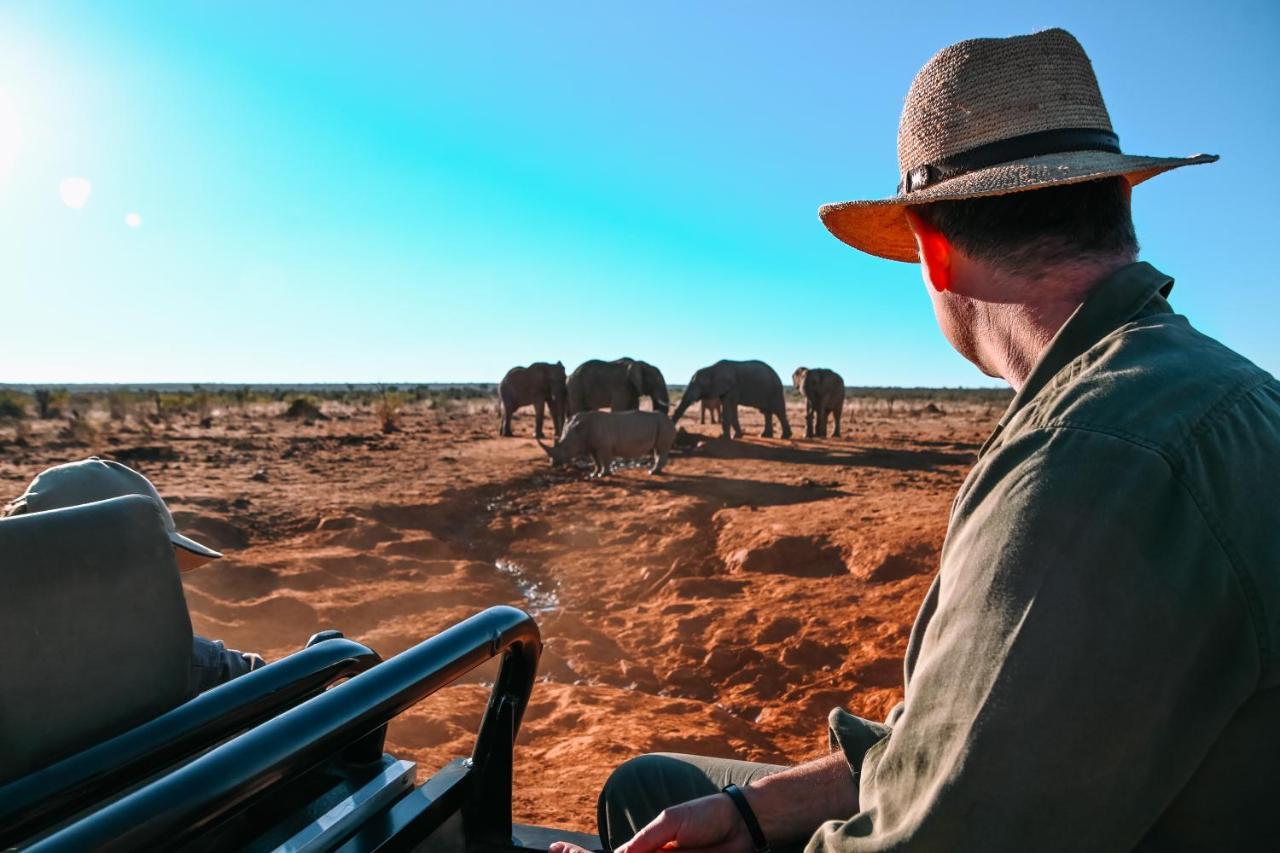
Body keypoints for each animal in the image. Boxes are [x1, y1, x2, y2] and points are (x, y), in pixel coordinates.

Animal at [535, 409, 675, 473]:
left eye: (566, 448)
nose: (553, 464)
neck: (579, 430)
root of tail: (670, 420)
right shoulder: (591, 446)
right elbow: (595, 460)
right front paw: (594, 474)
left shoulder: (604, 446)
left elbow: (605, 460)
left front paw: (604, 474)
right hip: (661, 425)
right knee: (657, 450)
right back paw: (656, 471)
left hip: (663, 424)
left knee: (661, 449)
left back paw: (652, 472)